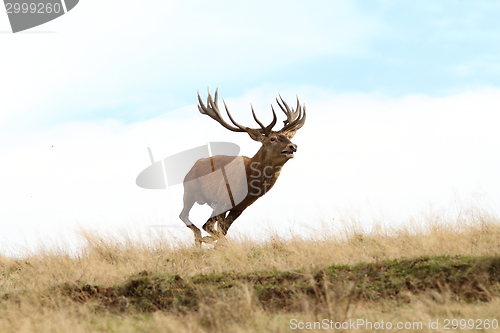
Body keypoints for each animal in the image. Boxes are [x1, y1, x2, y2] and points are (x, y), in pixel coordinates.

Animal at [180, 89, 304, 245]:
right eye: (272, 139)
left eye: (288, 137)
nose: (293, 146)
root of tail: (192, 167)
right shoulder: (222, 199)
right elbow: (211, 228)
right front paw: (212, 241)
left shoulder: (240, 207)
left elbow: (222, 231)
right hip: (189, 191)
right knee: (185, 216)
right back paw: (200, 238)